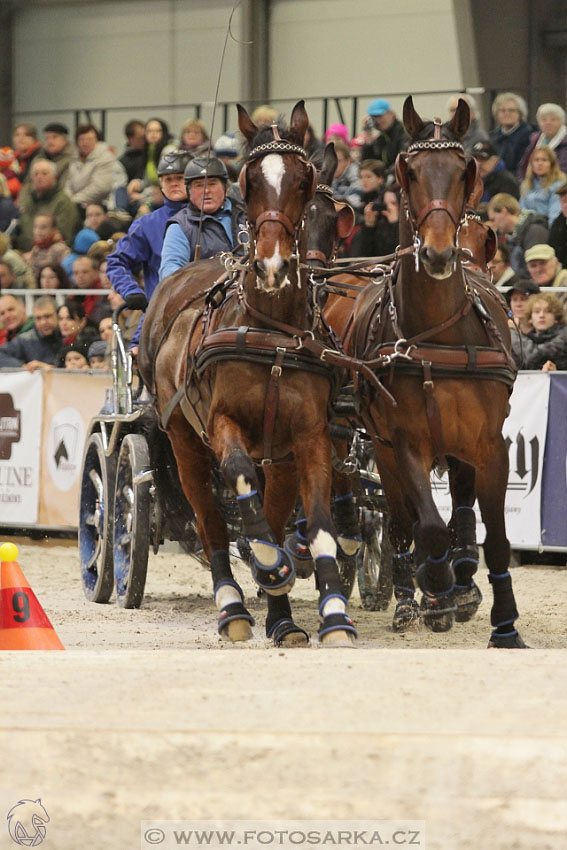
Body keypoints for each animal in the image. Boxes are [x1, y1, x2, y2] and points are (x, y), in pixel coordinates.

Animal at [139, 101, 360, 644]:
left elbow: (318, 522)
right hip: (185, 443)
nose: (273, 265)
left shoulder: (309, 437)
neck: (272, 331)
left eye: (303, 181)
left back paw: (282, 619)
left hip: (276, 458)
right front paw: (267, 563)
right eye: (250, 179)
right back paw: (233, 603)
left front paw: (333, 613)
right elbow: (238, 480)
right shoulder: (223, 426)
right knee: (211, 520)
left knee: (275, 515)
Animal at [330, 96, 524, 644]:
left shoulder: (487, 445)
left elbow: (491, 536)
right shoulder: (404, 441)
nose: (440, 253)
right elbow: (428, 526)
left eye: (463, 171)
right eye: (411, 172)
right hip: (378, 448)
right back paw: (408, 597)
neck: (438, 337)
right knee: (397, 520)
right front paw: (434, 590)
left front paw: (503, 623)